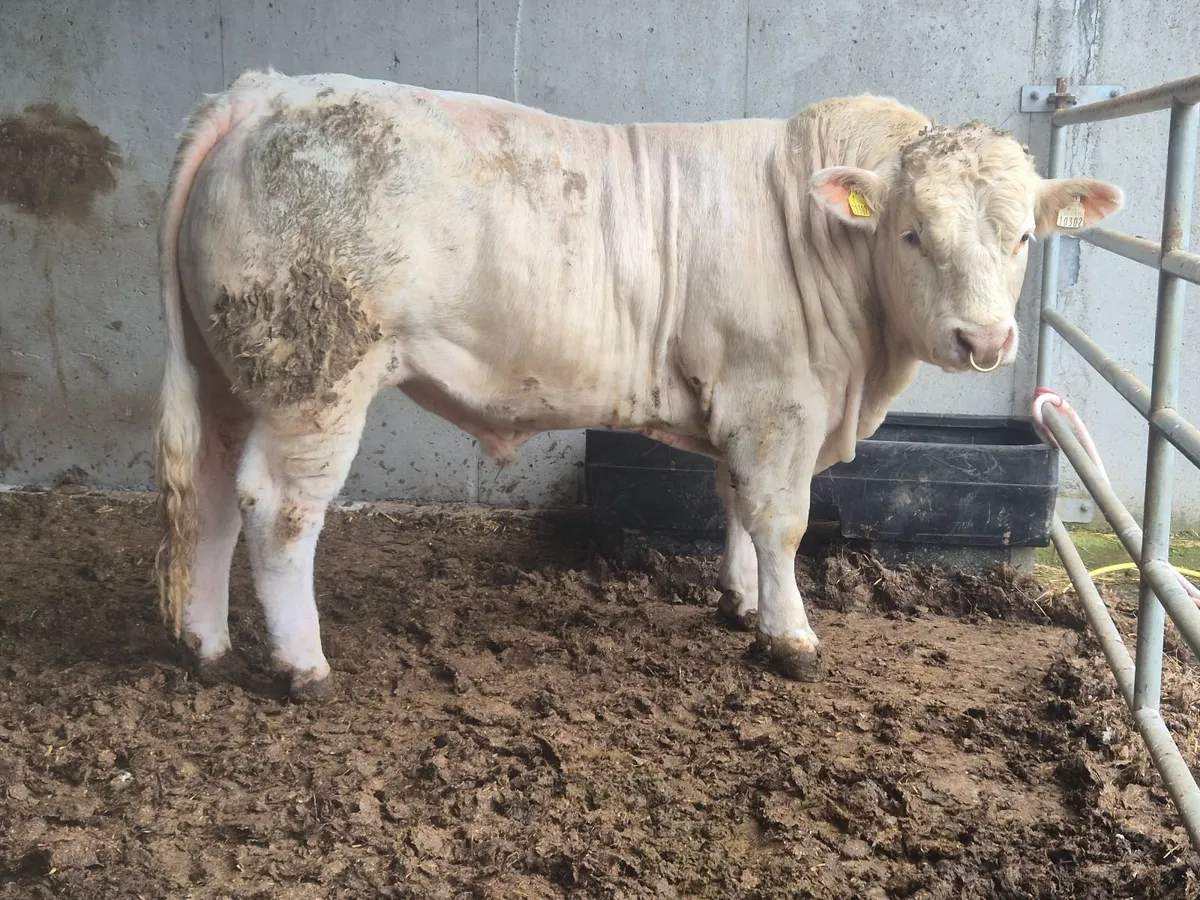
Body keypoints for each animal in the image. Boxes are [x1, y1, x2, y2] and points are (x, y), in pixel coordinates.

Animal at [154, 69, 1122, 698]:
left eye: (1024, 236)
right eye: (914, 232)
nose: (985, 338)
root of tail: (264, 93)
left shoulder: (740, 403)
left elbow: (732, 503)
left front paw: (739, 602)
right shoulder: (778, 400)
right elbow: (781, 520)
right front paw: (791, 635)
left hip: (228, 368)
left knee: (208, 491)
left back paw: (205, 643)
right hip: (315, 377)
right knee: (279, 509)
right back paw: (301, 666)